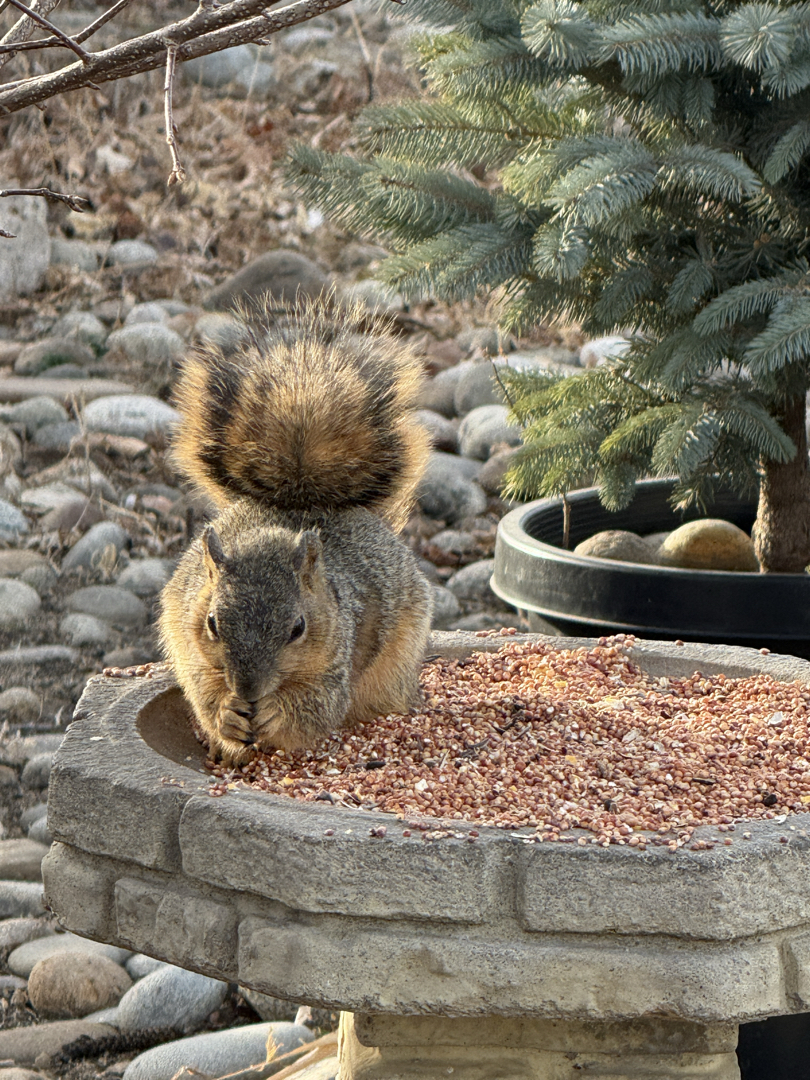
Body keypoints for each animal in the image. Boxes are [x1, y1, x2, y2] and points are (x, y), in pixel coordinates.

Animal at [158, 298, 434, 766]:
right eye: (213, 623)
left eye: (298, 628)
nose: (248, 689)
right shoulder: (193, 641)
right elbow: (203, 691)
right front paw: (227, 712)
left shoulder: (336, 661)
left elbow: (317, 707)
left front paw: (275, 713)